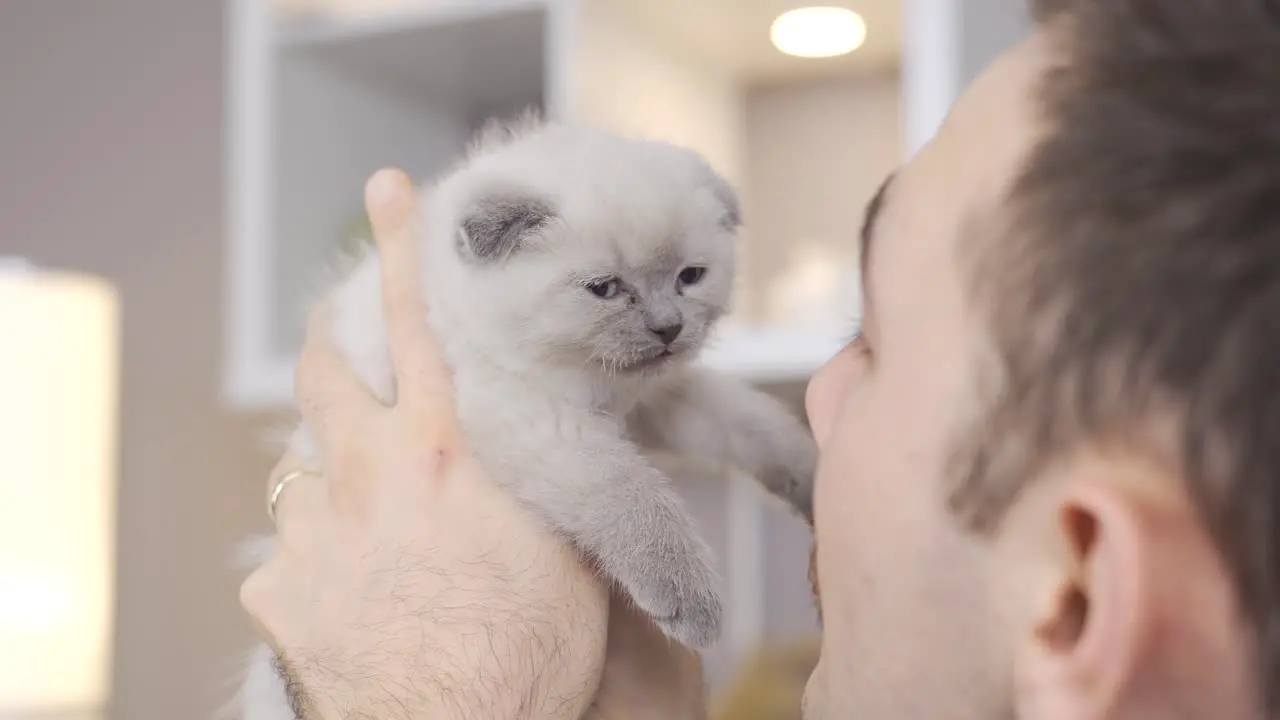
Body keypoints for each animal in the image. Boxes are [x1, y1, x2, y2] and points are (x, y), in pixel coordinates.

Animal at [236, 114, 814, 712]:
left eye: (690, 276)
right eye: (605, 288)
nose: (669, 328)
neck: (586, 381)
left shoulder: (648, 399)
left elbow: (749, 421)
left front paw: (813, 474)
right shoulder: (532, 419)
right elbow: (632, 495)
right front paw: (691, 601)